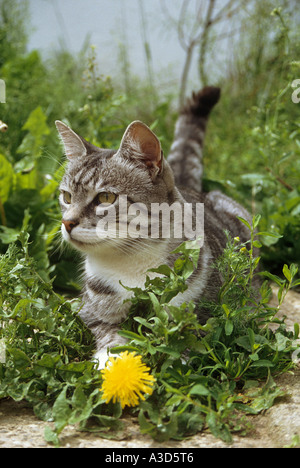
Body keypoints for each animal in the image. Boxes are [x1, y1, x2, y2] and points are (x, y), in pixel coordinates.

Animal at [55, 86, 251, 368]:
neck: (132, 263)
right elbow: (109, 333)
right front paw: (116, 364)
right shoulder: (93, 311)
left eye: (105, 198)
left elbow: (184, 342)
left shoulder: (200, 315)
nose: (67, 222)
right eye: (66, 196)